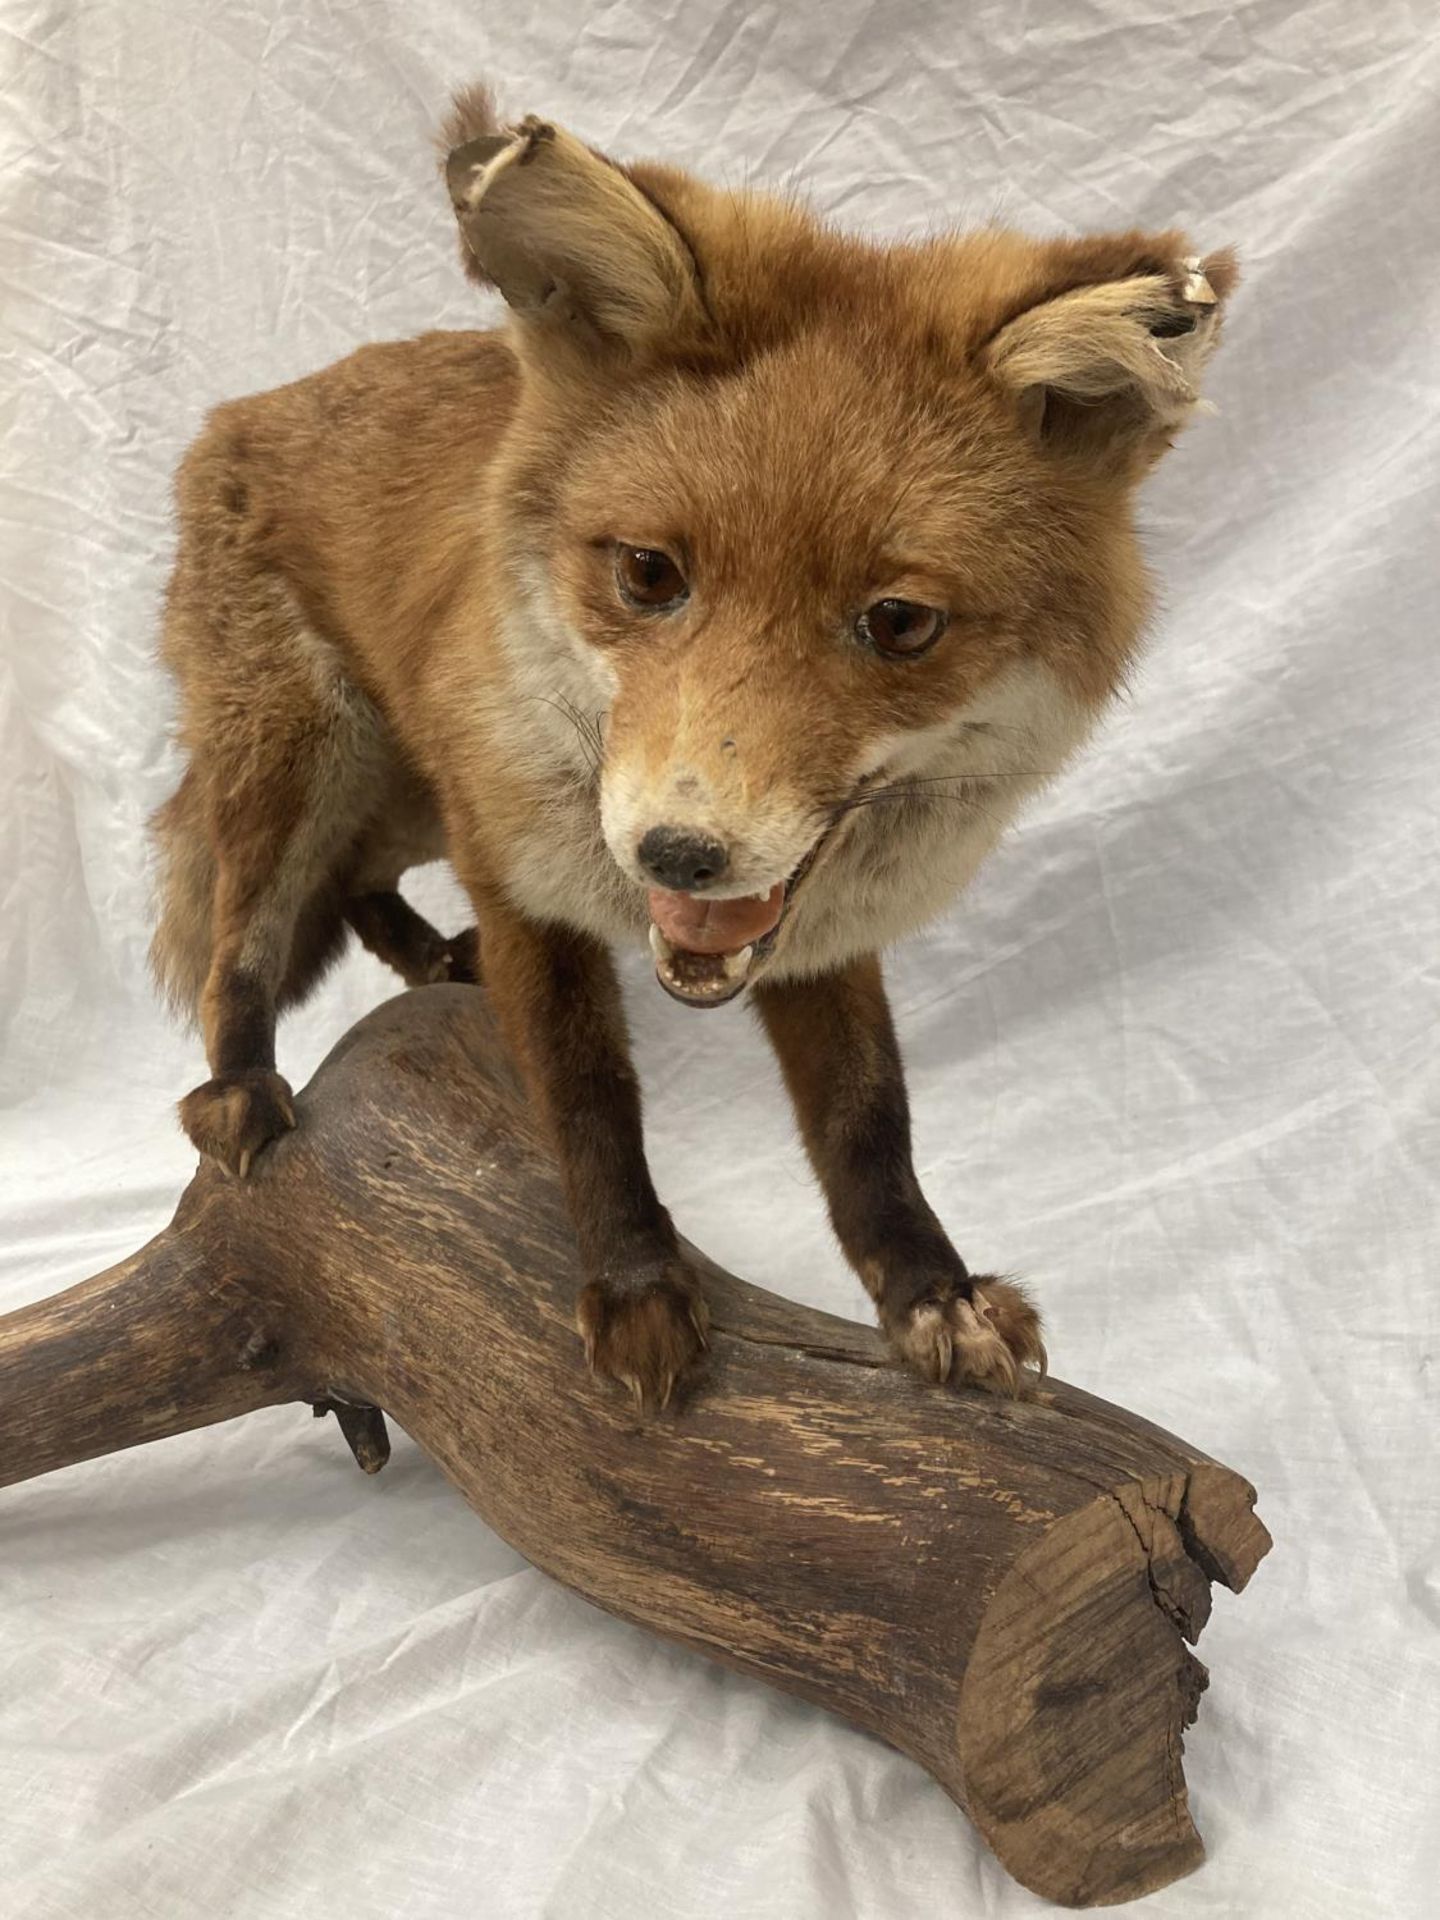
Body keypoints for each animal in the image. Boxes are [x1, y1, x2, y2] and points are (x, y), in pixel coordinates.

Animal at [155, 82, 1244, 1413]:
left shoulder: (806, 927)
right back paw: (241, 1086)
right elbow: (588, 1099)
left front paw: (930, 1292)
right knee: (244, 935)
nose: (678, 854)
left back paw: (430, 960)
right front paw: (635, 1289)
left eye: (899, 622)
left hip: (410, 780)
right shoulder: (521, 878)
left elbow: (869, 1121)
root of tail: (254, 405)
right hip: (299, 757)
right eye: (648, 573)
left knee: (361, 876)